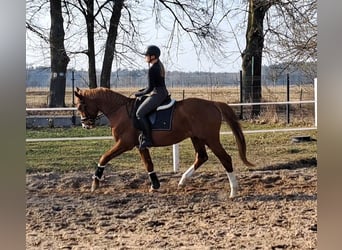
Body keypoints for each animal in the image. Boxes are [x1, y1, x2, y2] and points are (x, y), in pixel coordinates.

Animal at [74, 87, 254, 198]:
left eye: (81, 106)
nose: (85, 124)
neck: (119, 111)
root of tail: (212, 103)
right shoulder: (140, 145)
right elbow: (148, 164)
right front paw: (155, 185)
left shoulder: (124, 144)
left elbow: (104, 157)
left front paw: (95, 184)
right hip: (196, 138)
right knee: (201, 157)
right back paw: (182, 181)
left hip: (210, 138)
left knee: (225, 159)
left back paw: (233, 191)